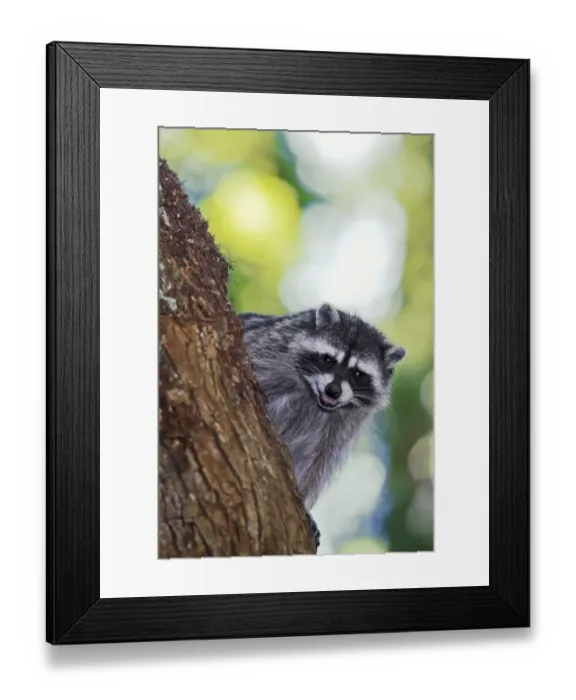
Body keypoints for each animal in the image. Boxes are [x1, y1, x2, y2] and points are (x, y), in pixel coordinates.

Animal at [239, 303, 405, 548]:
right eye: (328, 360)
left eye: (358, 373)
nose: (333, 390)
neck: (314, 396)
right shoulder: (266, 349)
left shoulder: (345, 424)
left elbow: (320, 461)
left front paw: (304, 502)